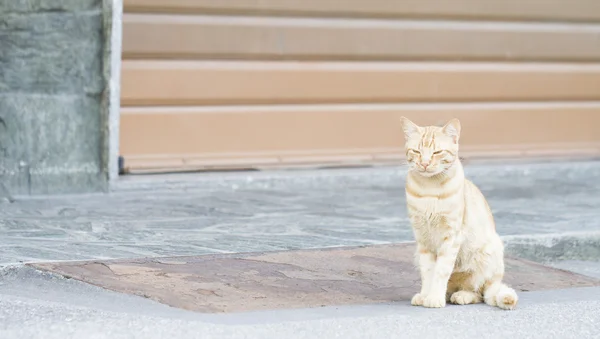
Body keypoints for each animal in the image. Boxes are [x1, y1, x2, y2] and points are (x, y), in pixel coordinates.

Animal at [398, 117, 520, 310]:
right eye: (417, 151)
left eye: (437, 152)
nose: (424, 163)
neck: (429, 189)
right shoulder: (423, 239)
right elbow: (428, 272)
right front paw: (426, 295)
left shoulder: (451, 236)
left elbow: (441, 271)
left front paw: (434, 297)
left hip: (490, 252)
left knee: (480, 292)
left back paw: (462, 295)